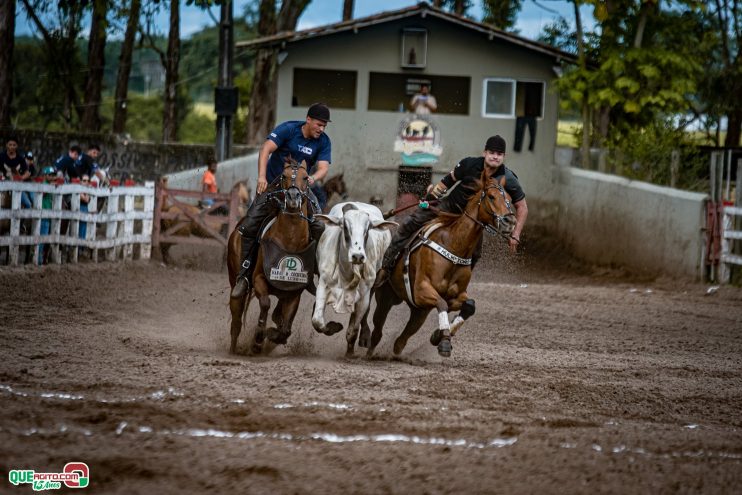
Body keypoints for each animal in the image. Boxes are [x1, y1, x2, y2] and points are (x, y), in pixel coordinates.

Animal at [227, 157, 314, 354]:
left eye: (306, 177)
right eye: (283, 176)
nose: (292, 198)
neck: (289, 239)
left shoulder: (294, 291)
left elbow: (286, 329)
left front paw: (272, 335)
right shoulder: (259, 279)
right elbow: (265, 303)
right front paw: (258, 338)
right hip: (235, 282)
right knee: (236, 319)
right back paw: (234, 348)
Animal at [310, 202, 398, 356]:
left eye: (367, 229)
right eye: (345, 227)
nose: (358, 256)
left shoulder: (364, 295)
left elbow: (353, 330)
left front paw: (349, 354)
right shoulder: (323, 284)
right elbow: (318, 321)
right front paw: (334, 326)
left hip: (372, 287)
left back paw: (365, 337)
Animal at [366, 169, 516, 358]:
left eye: (510, 199)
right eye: (491, 196)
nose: (510, 222)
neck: (454, 245)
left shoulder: (454, 296)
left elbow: (470, 305)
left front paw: (440, 334)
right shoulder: (421, 290)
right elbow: (442, 304)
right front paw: (443, 339)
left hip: (417, 311)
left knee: (403, 338)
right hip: (385, 296)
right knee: (377, 329)